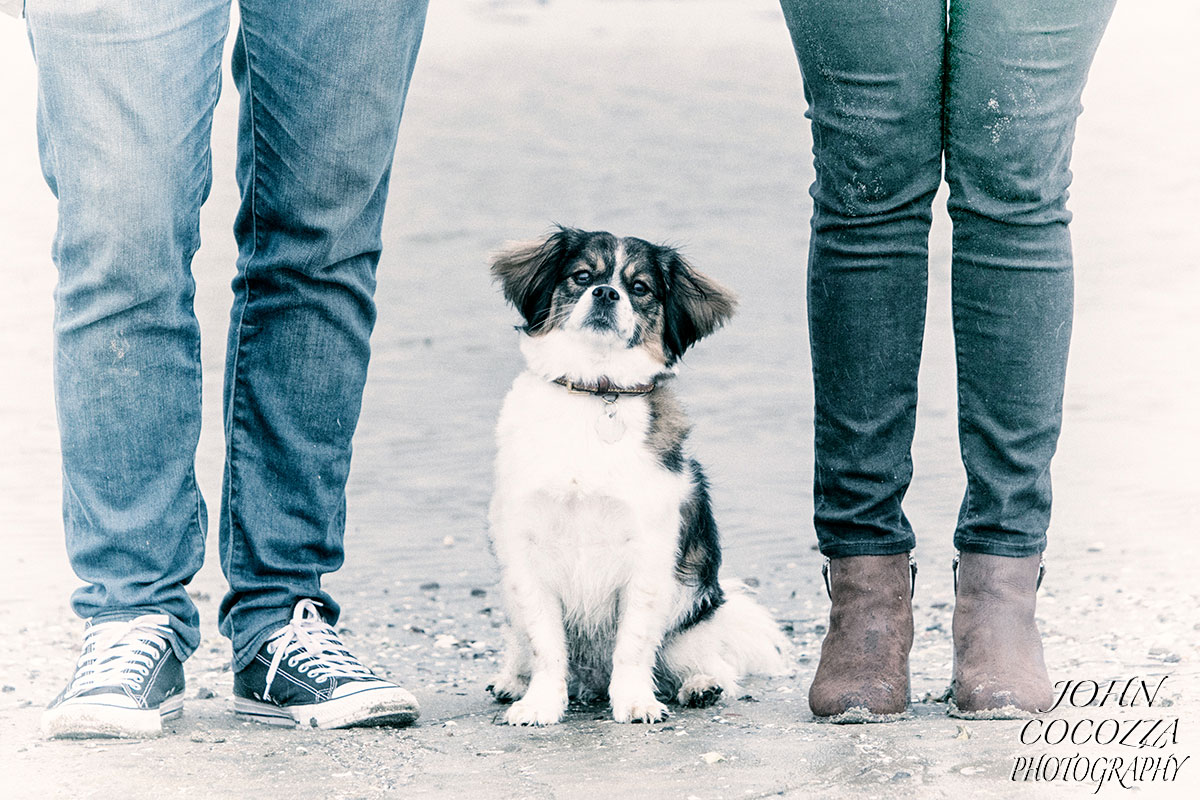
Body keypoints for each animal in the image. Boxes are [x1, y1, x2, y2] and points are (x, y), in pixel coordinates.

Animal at [487, 225, 787, 724]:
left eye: (640, 287)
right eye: (582, 276)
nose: (606, 293)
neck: (596, 390)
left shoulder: (647, 556)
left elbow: (633, 644)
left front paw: (634, 702)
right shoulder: (527, 553)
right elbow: (546, 643)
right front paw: (540, 703)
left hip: (692, 611)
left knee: (706, 663)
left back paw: (701, 685)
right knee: (522, 646)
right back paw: (513, 681)